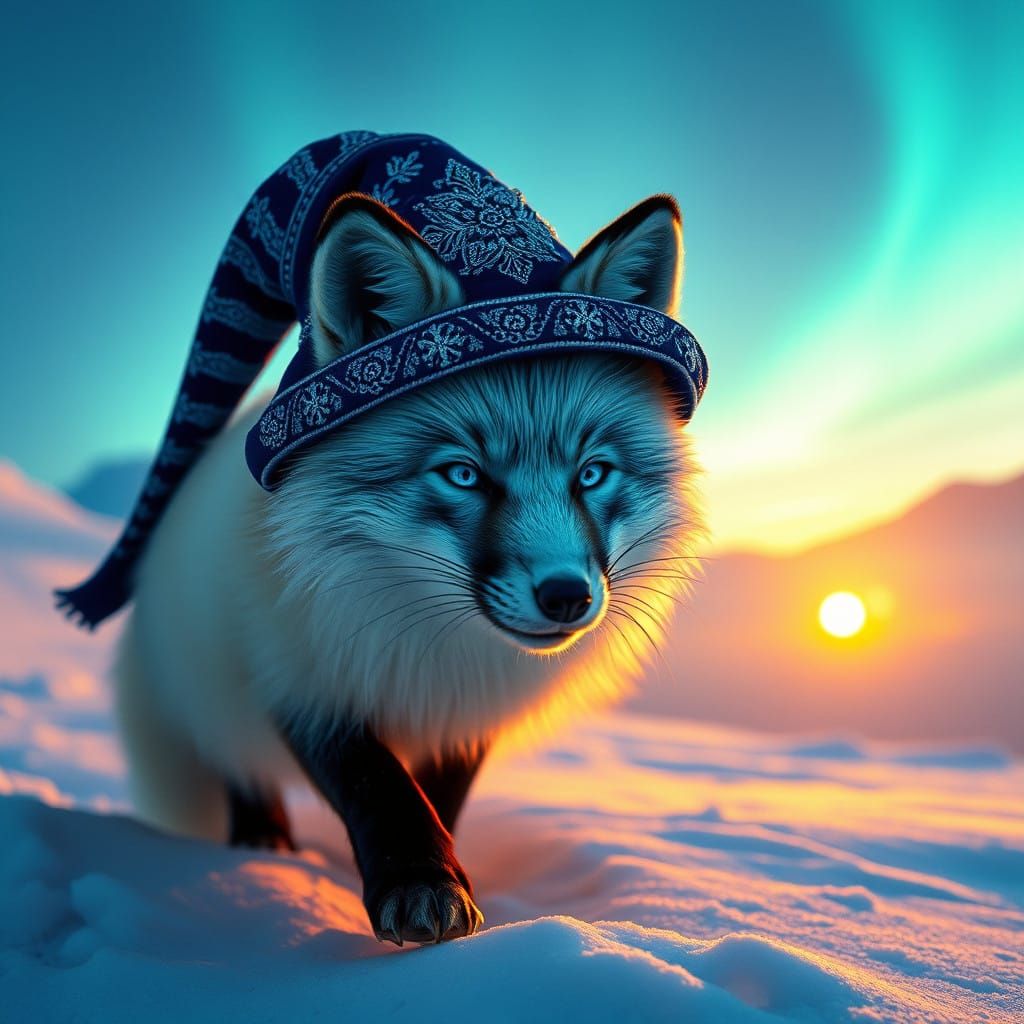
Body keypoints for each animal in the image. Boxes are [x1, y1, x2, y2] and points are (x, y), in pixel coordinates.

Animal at [70, 134, 705, 946]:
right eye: (463, 474)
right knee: (238, 767)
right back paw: (261, 847)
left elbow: (438, 799)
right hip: (209, 683)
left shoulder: (462, 711)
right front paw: (420, 886)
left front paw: (448, 874)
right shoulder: (299, 674)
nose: (567, 596)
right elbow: (380, 789)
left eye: (592, 473)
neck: (425, 635)